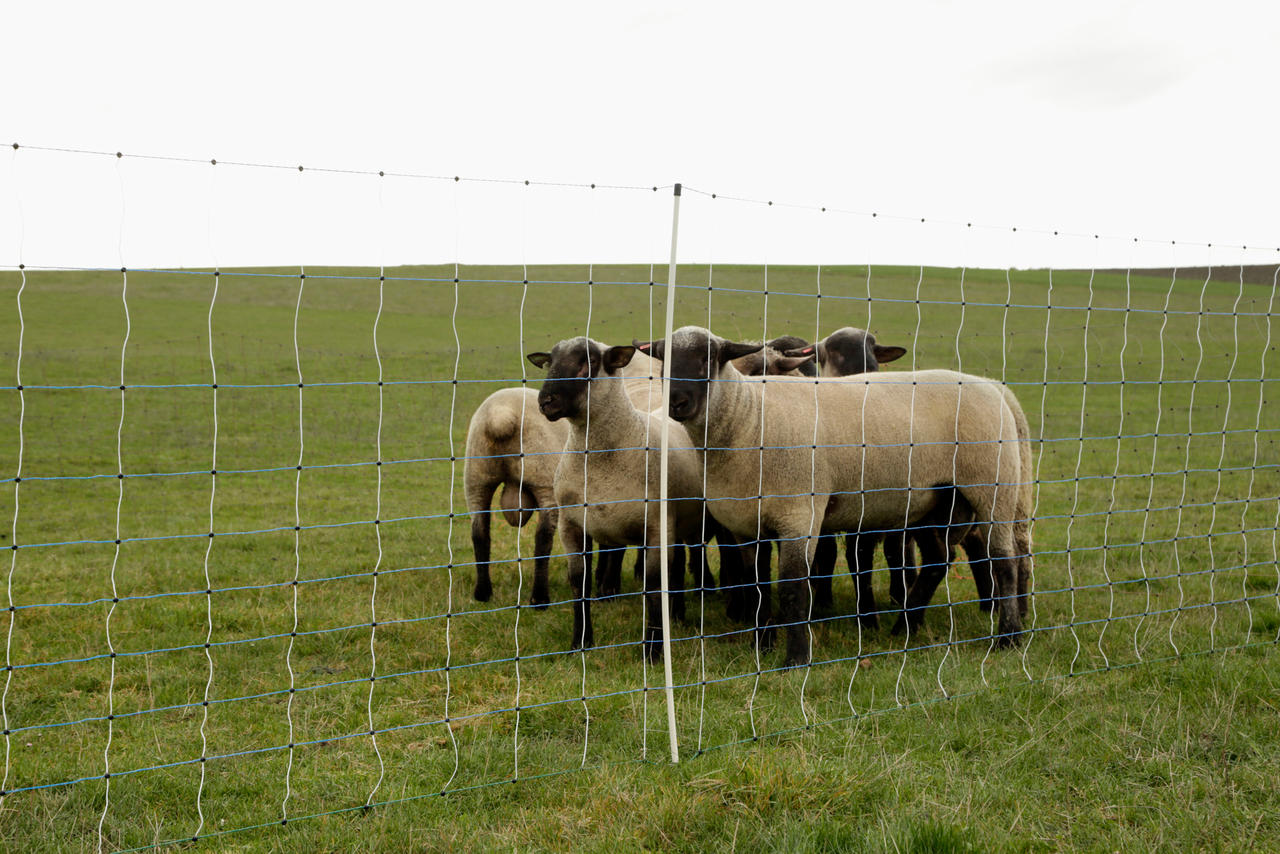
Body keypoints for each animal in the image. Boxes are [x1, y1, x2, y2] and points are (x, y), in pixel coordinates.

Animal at [527, 335, 711, 660]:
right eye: (550, 362)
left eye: (588, 362)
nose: (545, 401)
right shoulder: (572, 525)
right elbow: (579, 584)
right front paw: (580, 643)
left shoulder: (656, 528)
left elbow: (654, 585)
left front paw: (653, 651)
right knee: (676, 568)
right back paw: (676, 616)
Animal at [637, 327, 1029, 665]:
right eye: (663, 360)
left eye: (708, 358)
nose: (677, 403)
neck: (749, 418)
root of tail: (994, 388)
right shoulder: (745, 523)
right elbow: (757, 584)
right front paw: (761, 645)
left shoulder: (799, 513)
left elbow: (793, 587)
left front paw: (796, 659)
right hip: (934, 499)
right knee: (937, 560)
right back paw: (904, 627)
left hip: (992, 485)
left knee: (1004, 561)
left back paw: (1008, 637)